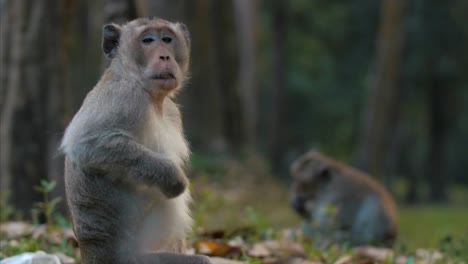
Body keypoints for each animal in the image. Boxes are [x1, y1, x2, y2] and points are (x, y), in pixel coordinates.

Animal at [60, 17, 212, 262]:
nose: (165, 56)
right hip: (132, 259)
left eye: (167, 39)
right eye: (148, 40)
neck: (153, 98)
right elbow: (85, 142)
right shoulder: (126, 97)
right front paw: (174, 179)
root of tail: (90, 255)